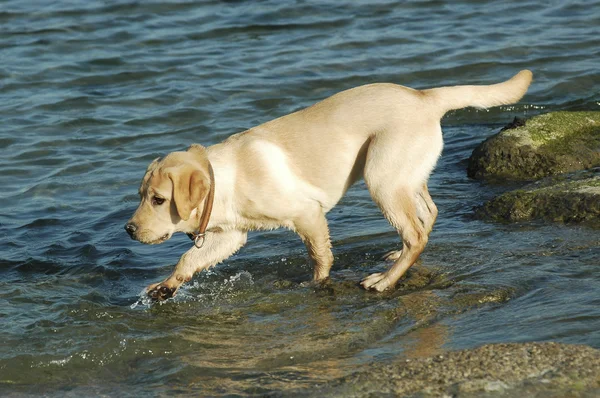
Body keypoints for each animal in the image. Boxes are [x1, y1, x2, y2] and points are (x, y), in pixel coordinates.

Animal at [124, 70, 532, 300]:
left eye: (158, 199)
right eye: (142, 196)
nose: (128, 229)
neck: (225, 177)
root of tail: (424, 97)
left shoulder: (307, 214)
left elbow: (321, 259)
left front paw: (316, 285)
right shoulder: (231, 236)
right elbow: (188, 258)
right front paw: (166, 286)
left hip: (381, 177)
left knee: (416, 233)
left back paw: (384, 281)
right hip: (404, 176)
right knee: (427, 216)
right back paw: (394, 258)